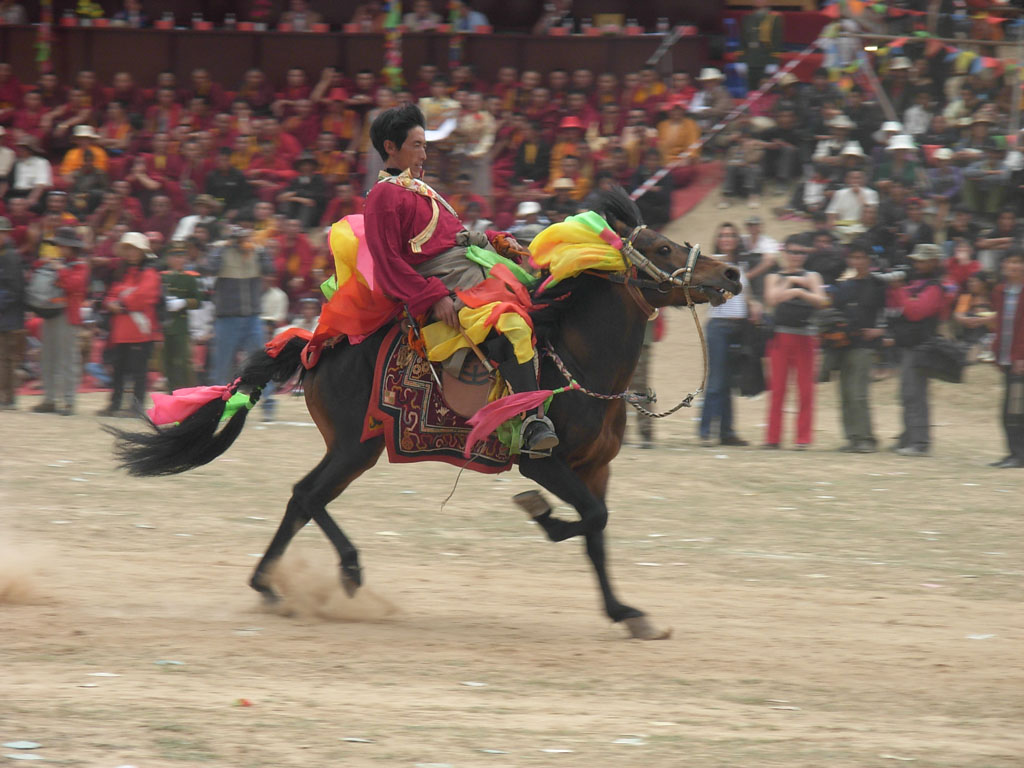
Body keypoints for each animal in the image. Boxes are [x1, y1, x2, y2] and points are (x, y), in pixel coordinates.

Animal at [110, 189, 737, 638]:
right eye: (662, 249)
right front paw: (543, 516)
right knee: (306, 495)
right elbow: (585, 519)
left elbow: (598, 532)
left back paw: (277, 583)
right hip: (355, 445)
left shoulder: (595, 468)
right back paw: (337, 575)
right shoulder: (543, 461)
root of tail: (319, 343)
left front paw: (626, 612)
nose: (730, 272)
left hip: (356, 448)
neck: (579, 364)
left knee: (303, 499)